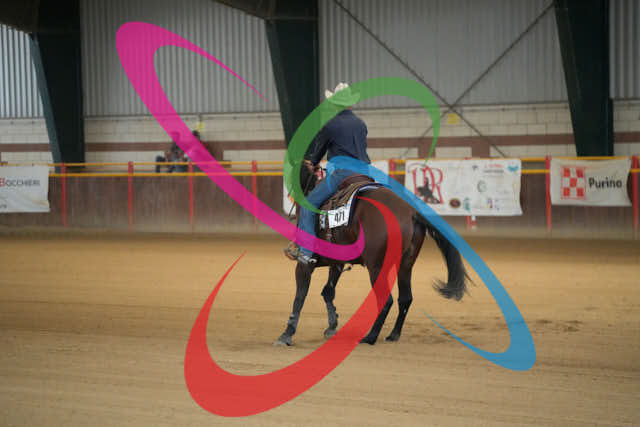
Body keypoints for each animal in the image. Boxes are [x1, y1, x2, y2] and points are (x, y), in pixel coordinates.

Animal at [275, 163, 470, 346]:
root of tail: (410, 211)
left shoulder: (306, 263)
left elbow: (300, 295)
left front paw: (287, 334)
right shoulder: (336, 262)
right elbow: (328, 291)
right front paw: (332, 326)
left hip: (376, 267)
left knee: (386, 300)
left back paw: (370, 337)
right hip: (406, 264)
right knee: (405, 298)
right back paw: (393, 335)